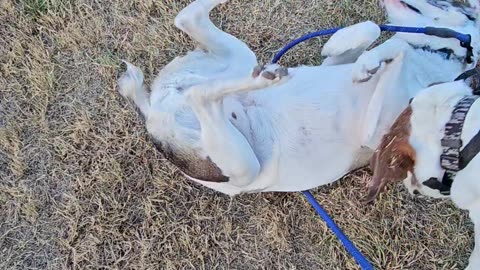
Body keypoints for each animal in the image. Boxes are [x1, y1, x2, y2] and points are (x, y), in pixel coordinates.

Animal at [118, 0, 480, 195]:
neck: (437, 54)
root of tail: (155, 117)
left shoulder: (378, 133)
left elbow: (393, 47)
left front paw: (371, 61)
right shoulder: (338, 63)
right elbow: (371, 31)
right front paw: (353, 51)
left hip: (243, 166)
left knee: (199, 93)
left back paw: (263, 79)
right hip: (236, 62)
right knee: (189, 22)